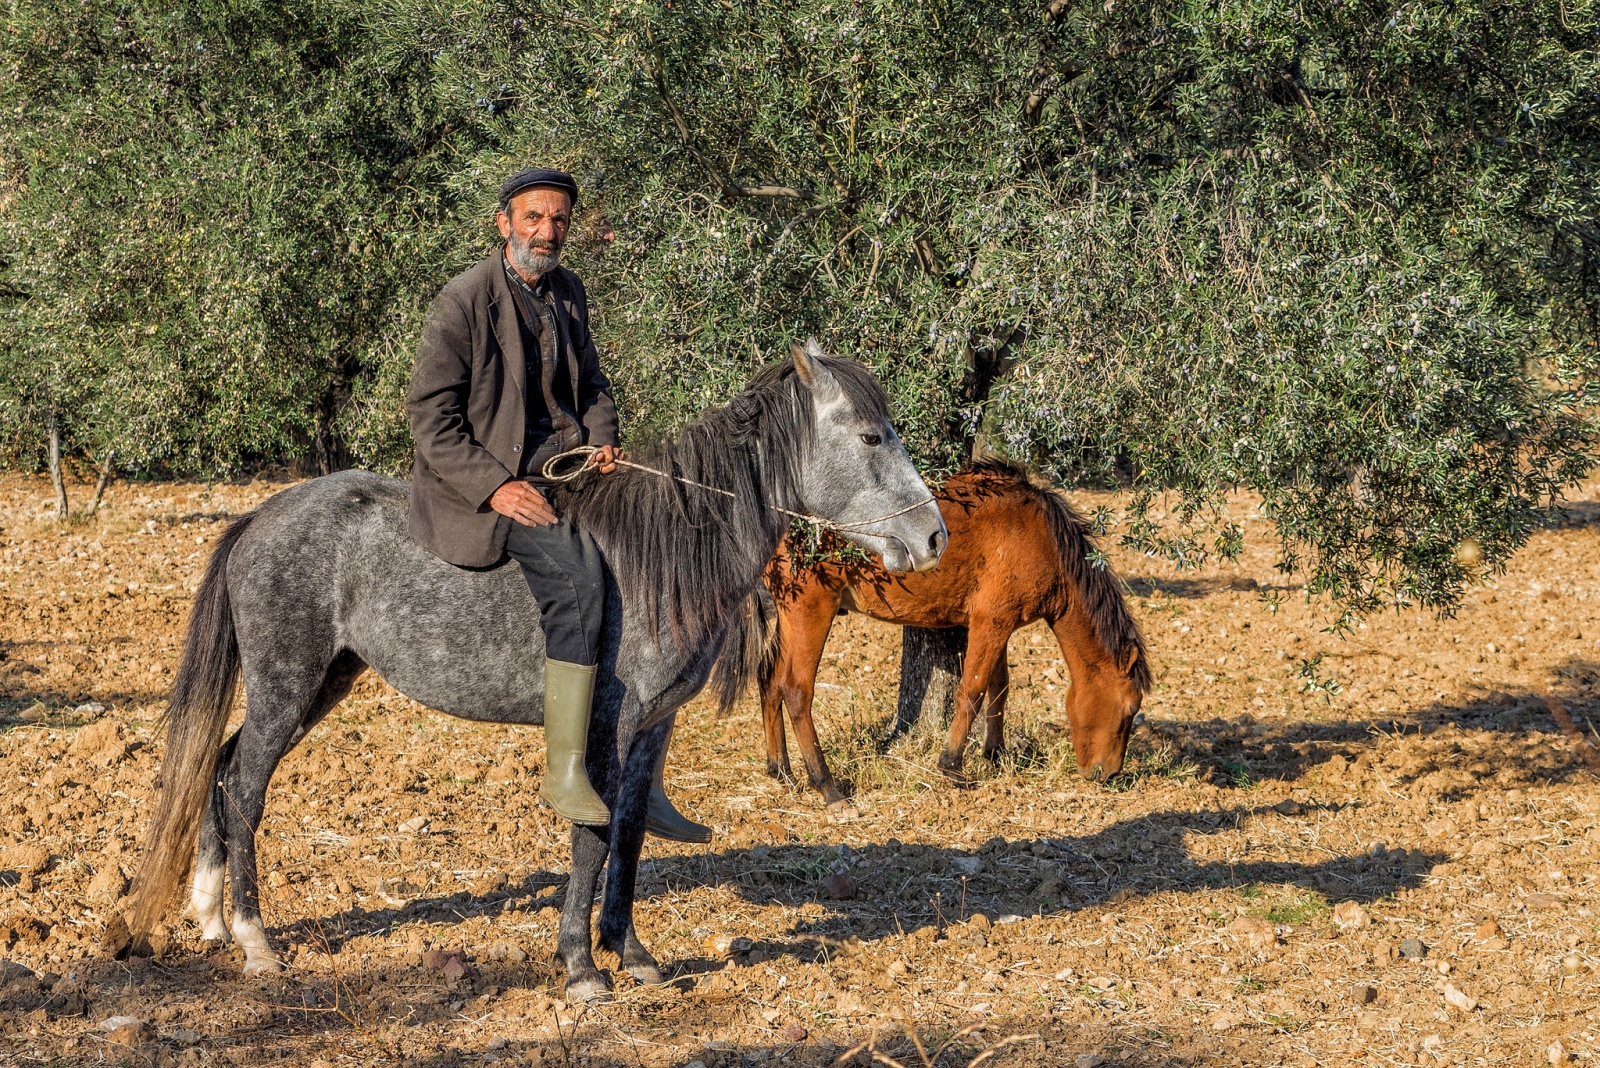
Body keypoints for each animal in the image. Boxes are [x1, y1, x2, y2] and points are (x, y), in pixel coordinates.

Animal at [131, 343, 940, 1004]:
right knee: (245, 788)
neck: (659, 554)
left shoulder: (653, 727)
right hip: (286, 683)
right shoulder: (605, 728)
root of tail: (259, 518)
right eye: (870, 436)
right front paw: (581, 966)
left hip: (322, 684)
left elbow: (631, 833)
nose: (933, 536)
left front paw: (631, 952)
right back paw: (254, 939)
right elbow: (593, 834)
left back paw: (209, 915)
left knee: (220, 767)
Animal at [755, 463, 1145, 805]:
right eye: (1129, 710)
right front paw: (952, 766)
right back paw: (826, 784)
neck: (1042, 537)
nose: (1110, 774)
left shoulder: (999, 625)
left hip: (789, 615)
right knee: (796, 691)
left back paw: (781, 769)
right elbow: (972, 691)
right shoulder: (990, 624)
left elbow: (998, 687)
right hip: (811, 610)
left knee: (769, 680)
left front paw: (993, 754)